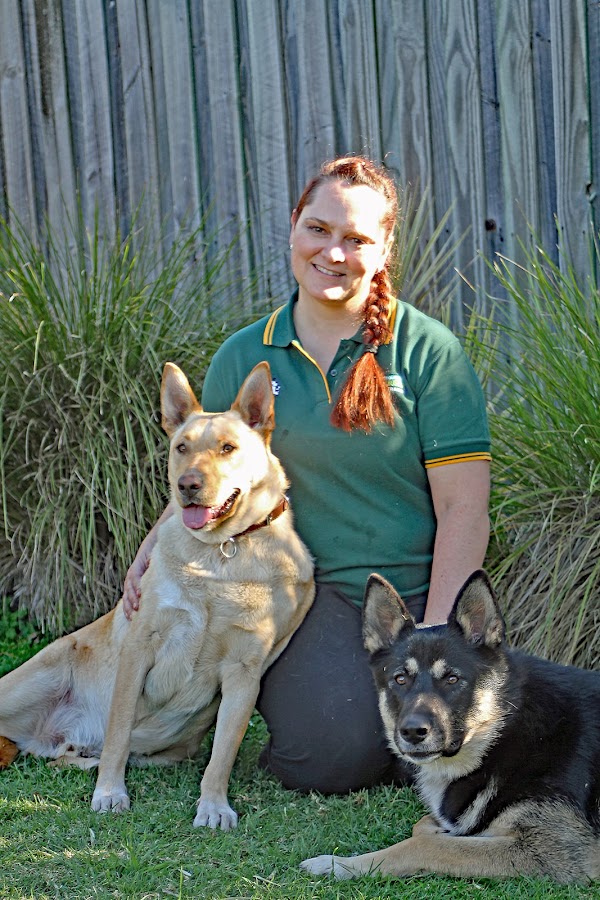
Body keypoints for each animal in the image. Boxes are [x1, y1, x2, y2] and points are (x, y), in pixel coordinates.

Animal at [0, 361, 314, 830]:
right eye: (182, 447)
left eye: (227, 448)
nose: (188, 484)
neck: (221, 552)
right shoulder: (140, 646)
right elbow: (117, 734)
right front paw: (110, 793)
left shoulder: (244, 672)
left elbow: (222, 755)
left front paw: (213, 806)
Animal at [301, 570, 600, 883]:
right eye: (400, 679)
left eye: (452, 679)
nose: (412, 732)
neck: (503, 731)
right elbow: (425, 828)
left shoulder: (555, 849)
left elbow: (425, 845)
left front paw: (338, 864)